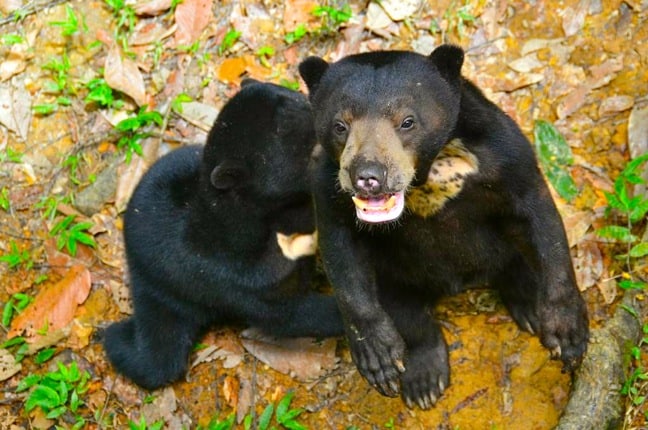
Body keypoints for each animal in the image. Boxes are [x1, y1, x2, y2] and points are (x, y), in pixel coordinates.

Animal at [104, 80, 344, 390]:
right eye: (304, 147)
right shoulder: (239, 279)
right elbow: (291, 314)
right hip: (164, 293)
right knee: (158, 358)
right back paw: (112, 335)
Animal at [302, 44, 588, 410]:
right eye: (340, 126)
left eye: (407, 121)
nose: (367, 176)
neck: (427, 176)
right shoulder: (326, 180)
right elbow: (341, 250)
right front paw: (377, 356)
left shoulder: (504, 154)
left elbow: (538, 214)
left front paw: (566, 333)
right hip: (398, 276)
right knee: (409, 314)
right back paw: (423, 380)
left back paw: (529, 307)